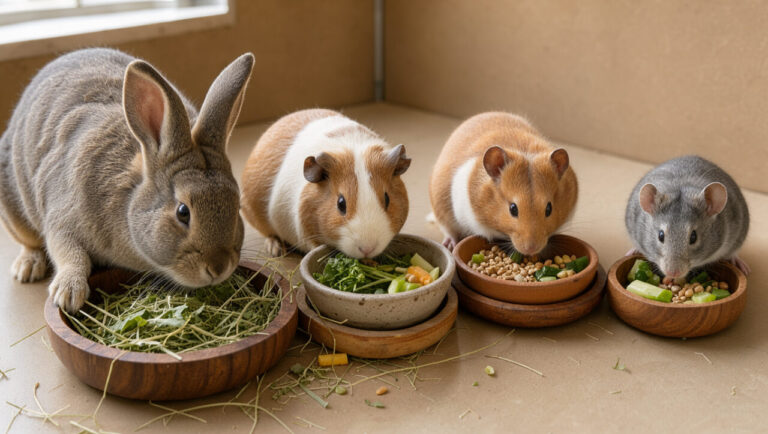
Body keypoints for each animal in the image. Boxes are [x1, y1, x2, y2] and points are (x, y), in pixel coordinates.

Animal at [0, 48, 254, 313]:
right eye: (183, 212)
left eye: (237, 206)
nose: (218, 268)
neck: (129, 198)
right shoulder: (63, 216)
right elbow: (69, 253)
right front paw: (68, 294)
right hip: (13, 210)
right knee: (30, 242)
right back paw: (27, 268)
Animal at [429, 112, 578, 254]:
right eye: (513, 209)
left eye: (549, 209)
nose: (531, 250)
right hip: (440, 205)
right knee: (449, 230)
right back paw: (450, 245)